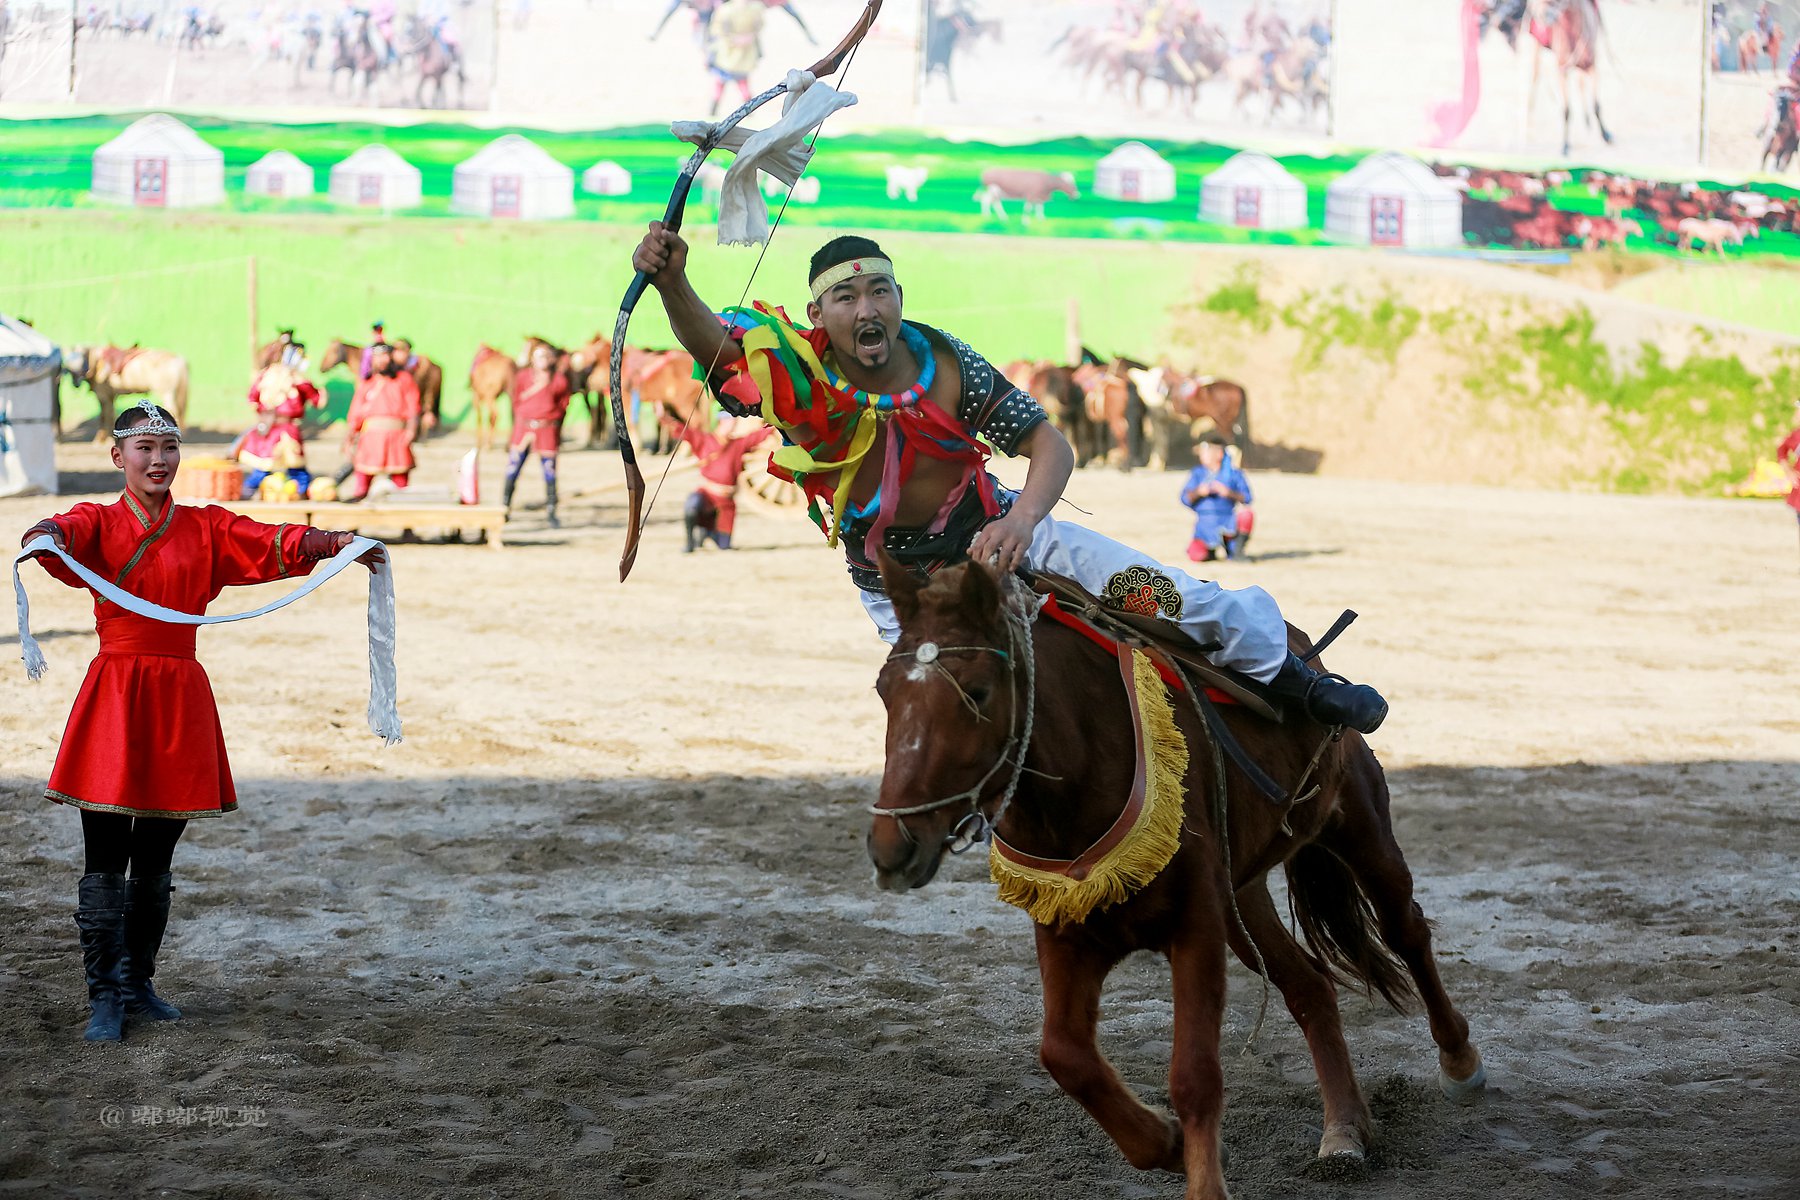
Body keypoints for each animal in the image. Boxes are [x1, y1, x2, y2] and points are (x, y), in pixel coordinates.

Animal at [865, 558, 1487, 1200]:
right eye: (885, 691)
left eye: (979, 692)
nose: (892, 846)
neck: (1084, 768)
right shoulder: (1066, 931)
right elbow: (1065, 1055)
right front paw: (1163, 1142)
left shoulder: (1196, 926)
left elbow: (1194, 1076)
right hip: (1243, 899)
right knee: (1310, 988)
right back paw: (1344, 1131)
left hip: (1359, 829)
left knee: (1406, 933)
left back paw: (1459, 1063)